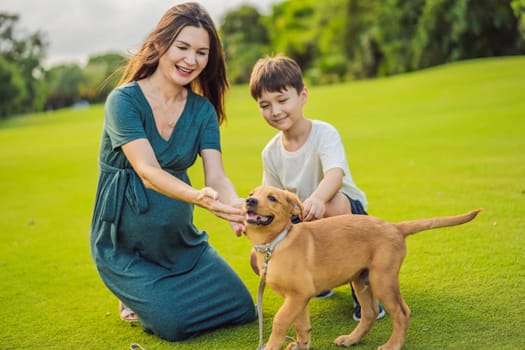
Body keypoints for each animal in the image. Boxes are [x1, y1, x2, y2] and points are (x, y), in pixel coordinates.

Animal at [244, 185, 482, 348]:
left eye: (272, 198)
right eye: (252, 192)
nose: (249, 201)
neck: (275, 243)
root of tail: (395, 227)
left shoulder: (299, 295)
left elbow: (280, 321)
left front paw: (271, 346)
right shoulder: (299, 297)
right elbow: (301, 326)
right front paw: (301, 345)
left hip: (382, 278)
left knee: (402, 312)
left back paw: (392, 345)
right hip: (362, 278)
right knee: (370, 312)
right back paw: (351, 339)